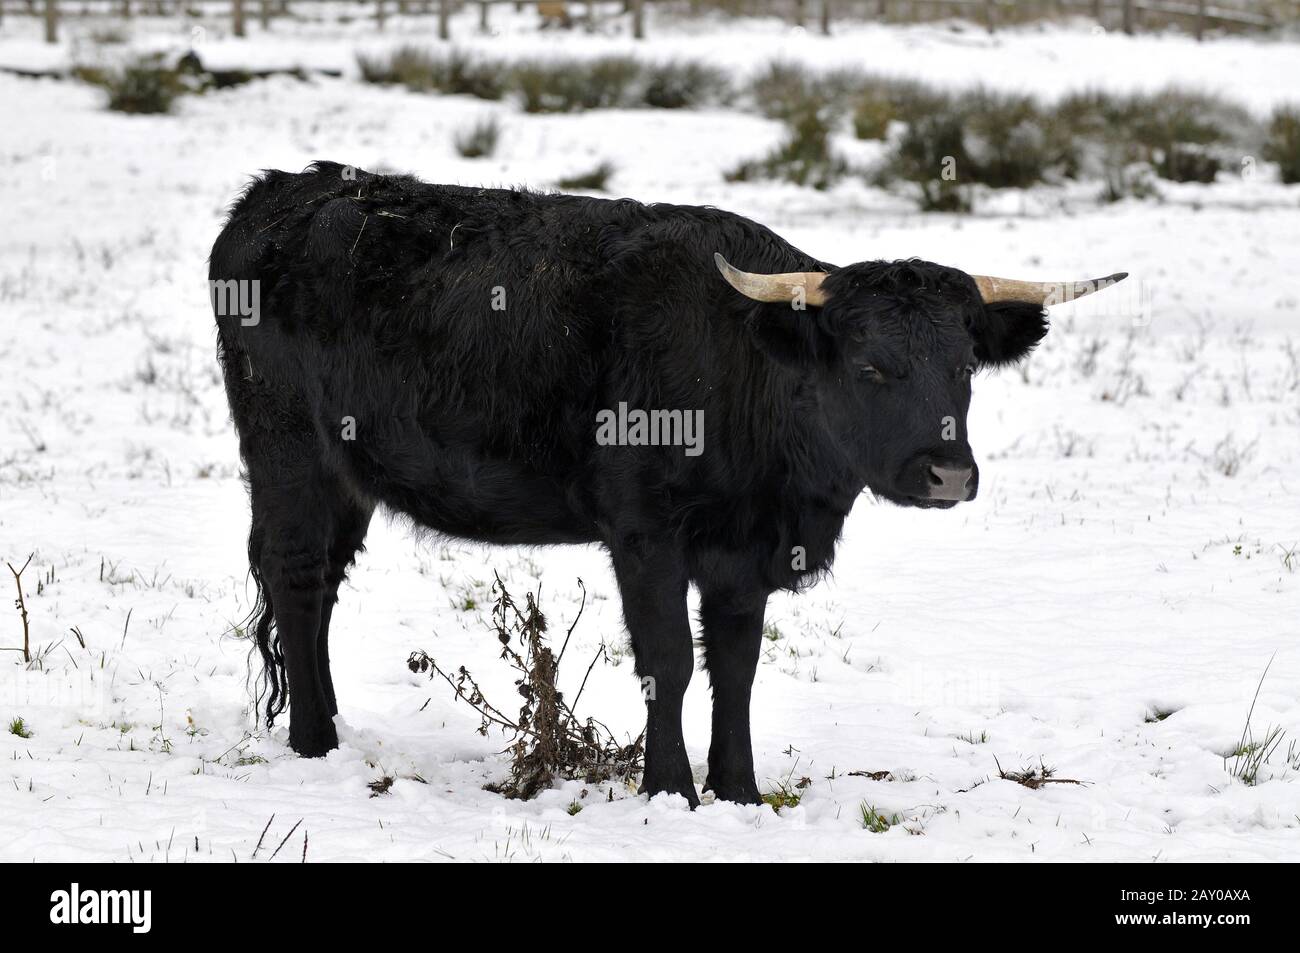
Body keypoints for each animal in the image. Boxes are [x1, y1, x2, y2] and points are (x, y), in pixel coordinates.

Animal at [210, 161, 1126, 807]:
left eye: (964, 365)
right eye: (870, 365)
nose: (949, 473)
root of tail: (286, 192)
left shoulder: (741, 555)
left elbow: (737, 664)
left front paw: (739, 789)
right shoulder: (645, 534)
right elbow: (669, 660)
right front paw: (670, 789)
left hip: (347, 479)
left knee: (320, 593)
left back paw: (330, 726)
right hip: (289, 455)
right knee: (297, 581)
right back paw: (314, 741)